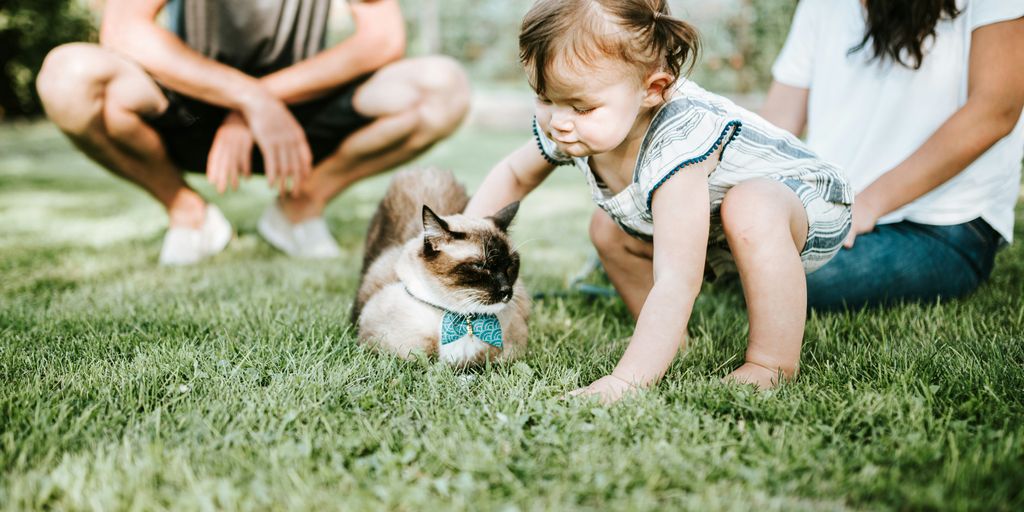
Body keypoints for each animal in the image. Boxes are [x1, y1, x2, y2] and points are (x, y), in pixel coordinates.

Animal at [354, 166, 528, 364]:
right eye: (480, 266)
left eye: (511, 264)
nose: (507, 290)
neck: (464, 320)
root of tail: (425, 169)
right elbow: (421, 356)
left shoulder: (511, 350)